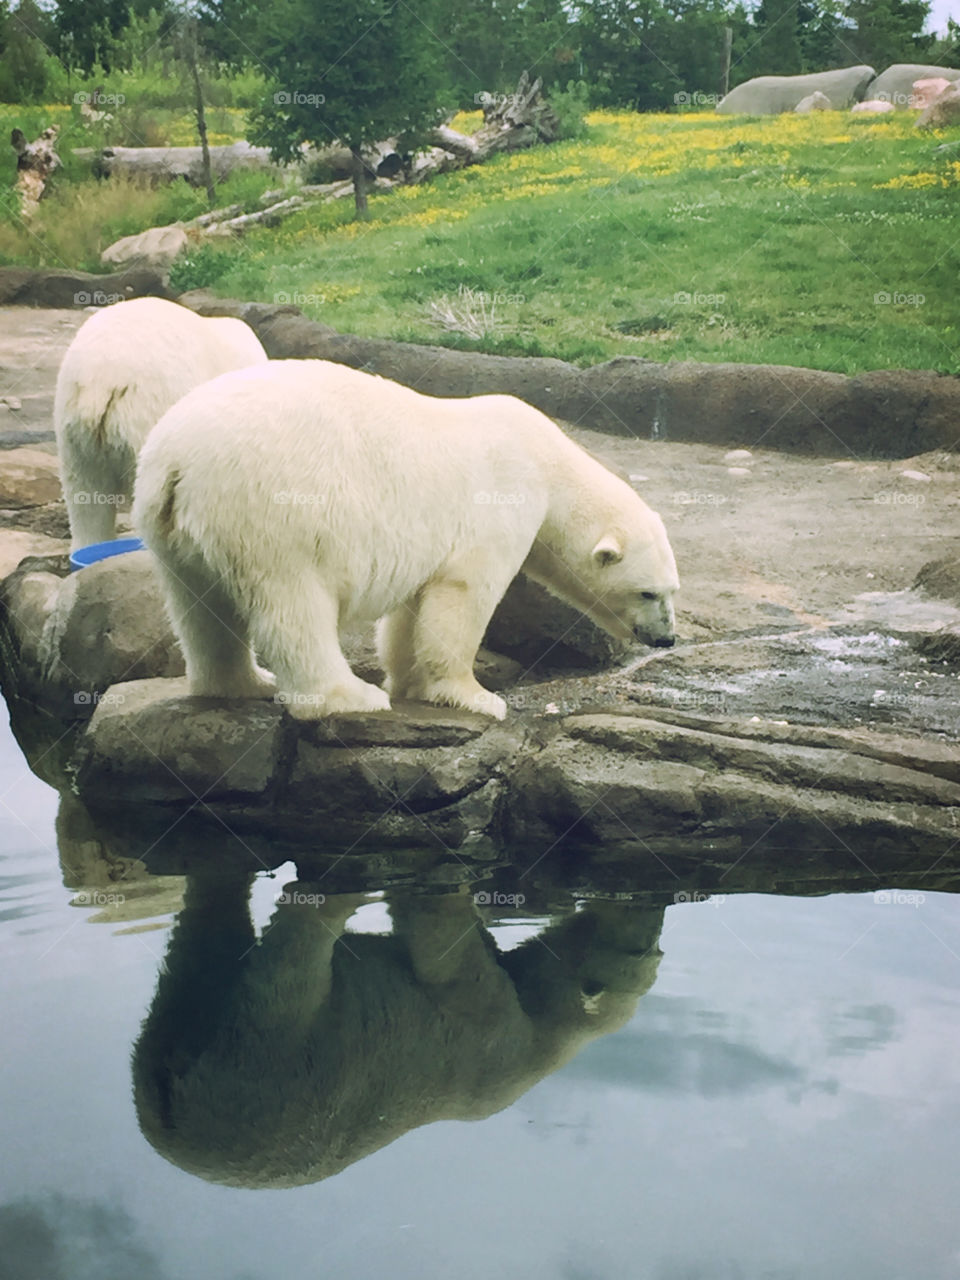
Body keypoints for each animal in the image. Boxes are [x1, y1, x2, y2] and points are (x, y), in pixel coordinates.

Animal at [133, 359, 679, 720]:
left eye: (672, 591)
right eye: (648, 593)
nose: (667, 638)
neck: (547, 462)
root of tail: (176, 460)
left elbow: (413, 608)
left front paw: (411, 682)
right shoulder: (502, 500)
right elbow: (466, 593)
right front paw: (477, 697)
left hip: (171, 528)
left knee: (198, 606)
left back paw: (242, 684)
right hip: (271, 511)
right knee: (294, 607)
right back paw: (348, 697)